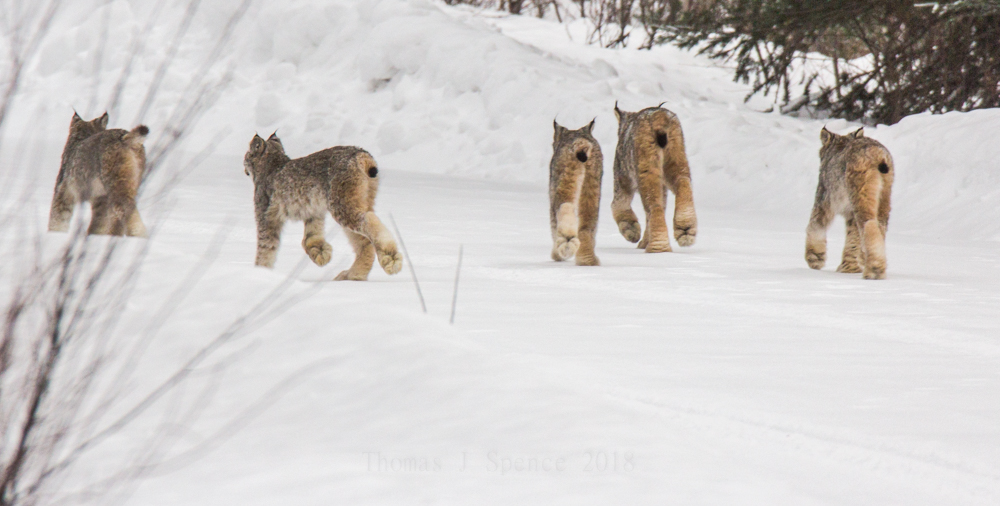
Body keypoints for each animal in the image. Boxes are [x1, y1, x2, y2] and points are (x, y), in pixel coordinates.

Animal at [242, 133, 402, 281]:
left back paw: (391, 259)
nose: (243, 163)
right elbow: (309, 238)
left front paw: (260, 273)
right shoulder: (313, 211)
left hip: (340, 205)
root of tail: (359, 152)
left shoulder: (266, 217)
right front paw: (320, 253)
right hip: (353, 203)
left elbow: (266, 249)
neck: (273, 160)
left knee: (369, 220)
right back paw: (353, 276)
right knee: (364, 240)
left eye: (247, 155)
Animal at [549, 119, 603, 266]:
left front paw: (556, 255)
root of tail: (581, 142)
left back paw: (566, 243)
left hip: (565, 178)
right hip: (592, 186)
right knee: (588, 224)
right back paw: (588, 260)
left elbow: (553, 224)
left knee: (565, 206)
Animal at [611, 103, 697, 253]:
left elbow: (618, 204)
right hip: (676, 157)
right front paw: (643, 241)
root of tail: (659, 114)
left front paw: (632, 231)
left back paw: (658, 248)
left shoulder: (622, 177)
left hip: (646, 167)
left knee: (654, 205)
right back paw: (685, 229)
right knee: (683, 182)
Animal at [806, 127, 894, 280]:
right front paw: (849, 268)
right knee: (880, 226)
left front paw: (815, 257)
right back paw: (872, 263)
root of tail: (878, 151)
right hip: (884, 197)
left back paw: (873, 269)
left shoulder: (824, 197)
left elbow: (815, 225)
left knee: (868, 224)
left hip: (859, 194)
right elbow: (852, 237)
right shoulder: (849, 213)